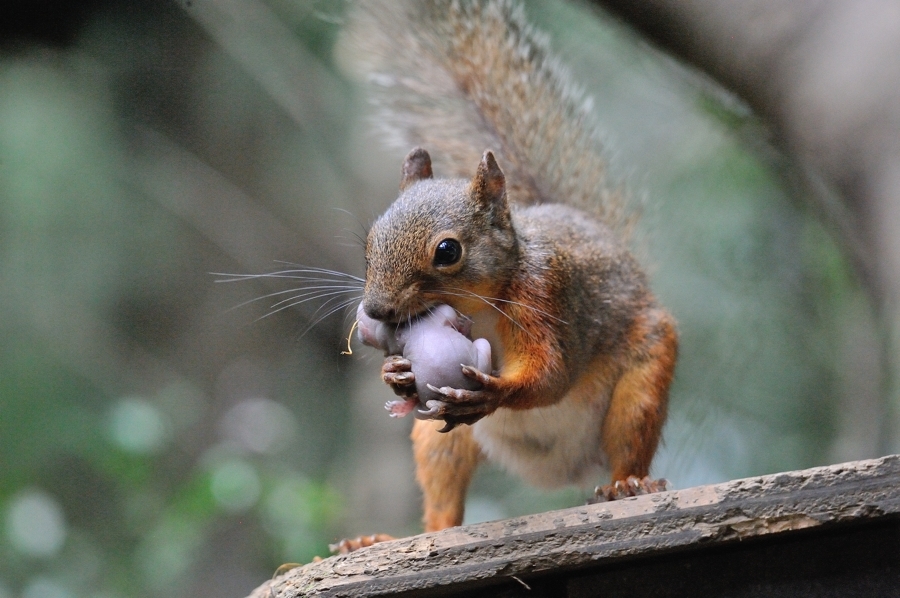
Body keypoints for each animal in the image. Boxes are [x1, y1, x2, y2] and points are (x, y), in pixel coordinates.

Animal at [342, 0, 680, 536]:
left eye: (447, 252)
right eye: (371, 241)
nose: (376, 310)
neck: (475, 304)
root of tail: (558, 469)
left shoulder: (546, 298)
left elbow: (551, 374)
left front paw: (494, 392)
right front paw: (394, 372)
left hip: (641, 382)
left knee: (630, 437)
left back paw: (627, 485)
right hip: (441, 441)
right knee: (443, 491)